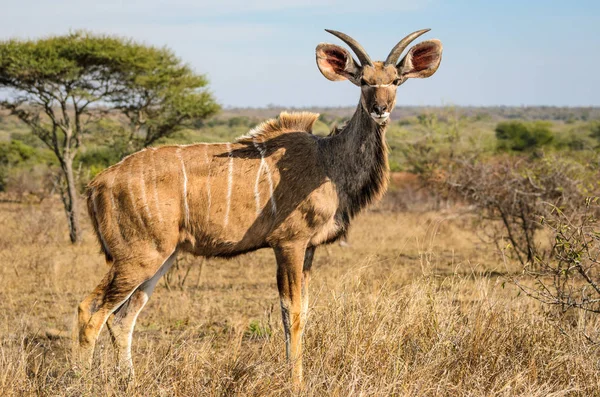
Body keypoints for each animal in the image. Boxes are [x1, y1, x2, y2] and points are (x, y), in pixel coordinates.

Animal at [76, 28, 440, 384]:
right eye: (364, 80)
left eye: (396, 80)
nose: (381, 109)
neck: (328, 161)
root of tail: (97, 184)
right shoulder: (289, 243)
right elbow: (291, 312)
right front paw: (296, 382)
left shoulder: (308, 248)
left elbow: (304, 310)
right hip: (137, 257)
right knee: (90, 310)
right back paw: (81, 380)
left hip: (162, 257)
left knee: (122, 318)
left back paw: (130, 381)